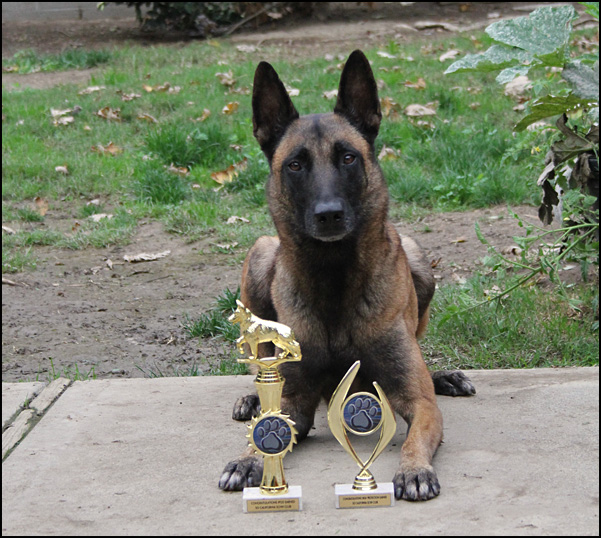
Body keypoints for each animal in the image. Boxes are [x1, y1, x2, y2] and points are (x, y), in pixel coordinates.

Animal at [219, 50, 475, 501]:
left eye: (349, 157)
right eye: (296, 164)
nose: (329, 214)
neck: (334, 276)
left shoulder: (419, 403)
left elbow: (414, 432)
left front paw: (414, 468)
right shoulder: (296, 402)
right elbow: (269, 431)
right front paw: (247, 459)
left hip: (417, 258)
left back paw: (443, 375)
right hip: (261, 254)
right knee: (260, 365)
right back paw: (251, 397)